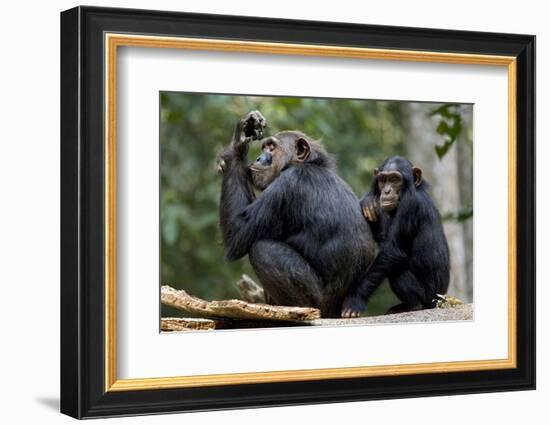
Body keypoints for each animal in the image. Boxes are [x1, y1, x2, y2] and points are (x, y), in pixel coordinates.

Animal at [218, 111, 378, 316]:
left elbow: (237, 234)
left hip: (318, 302)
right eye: (264, 147)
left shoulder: (287, 186)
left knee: (263, 249)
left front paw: (238, 142)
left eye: (272, 148)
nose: (259, 158)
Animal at [340, 154, 452, 316]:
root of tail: (441, 300)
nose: (386, 191)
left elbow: (392, 250)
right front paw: (369, 202)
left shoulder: (409, 206)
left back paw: (413, 306)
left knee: (396, 269)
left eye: (394, 179)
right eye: (383, 180)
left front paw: (354, 300)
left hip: (428, 298)